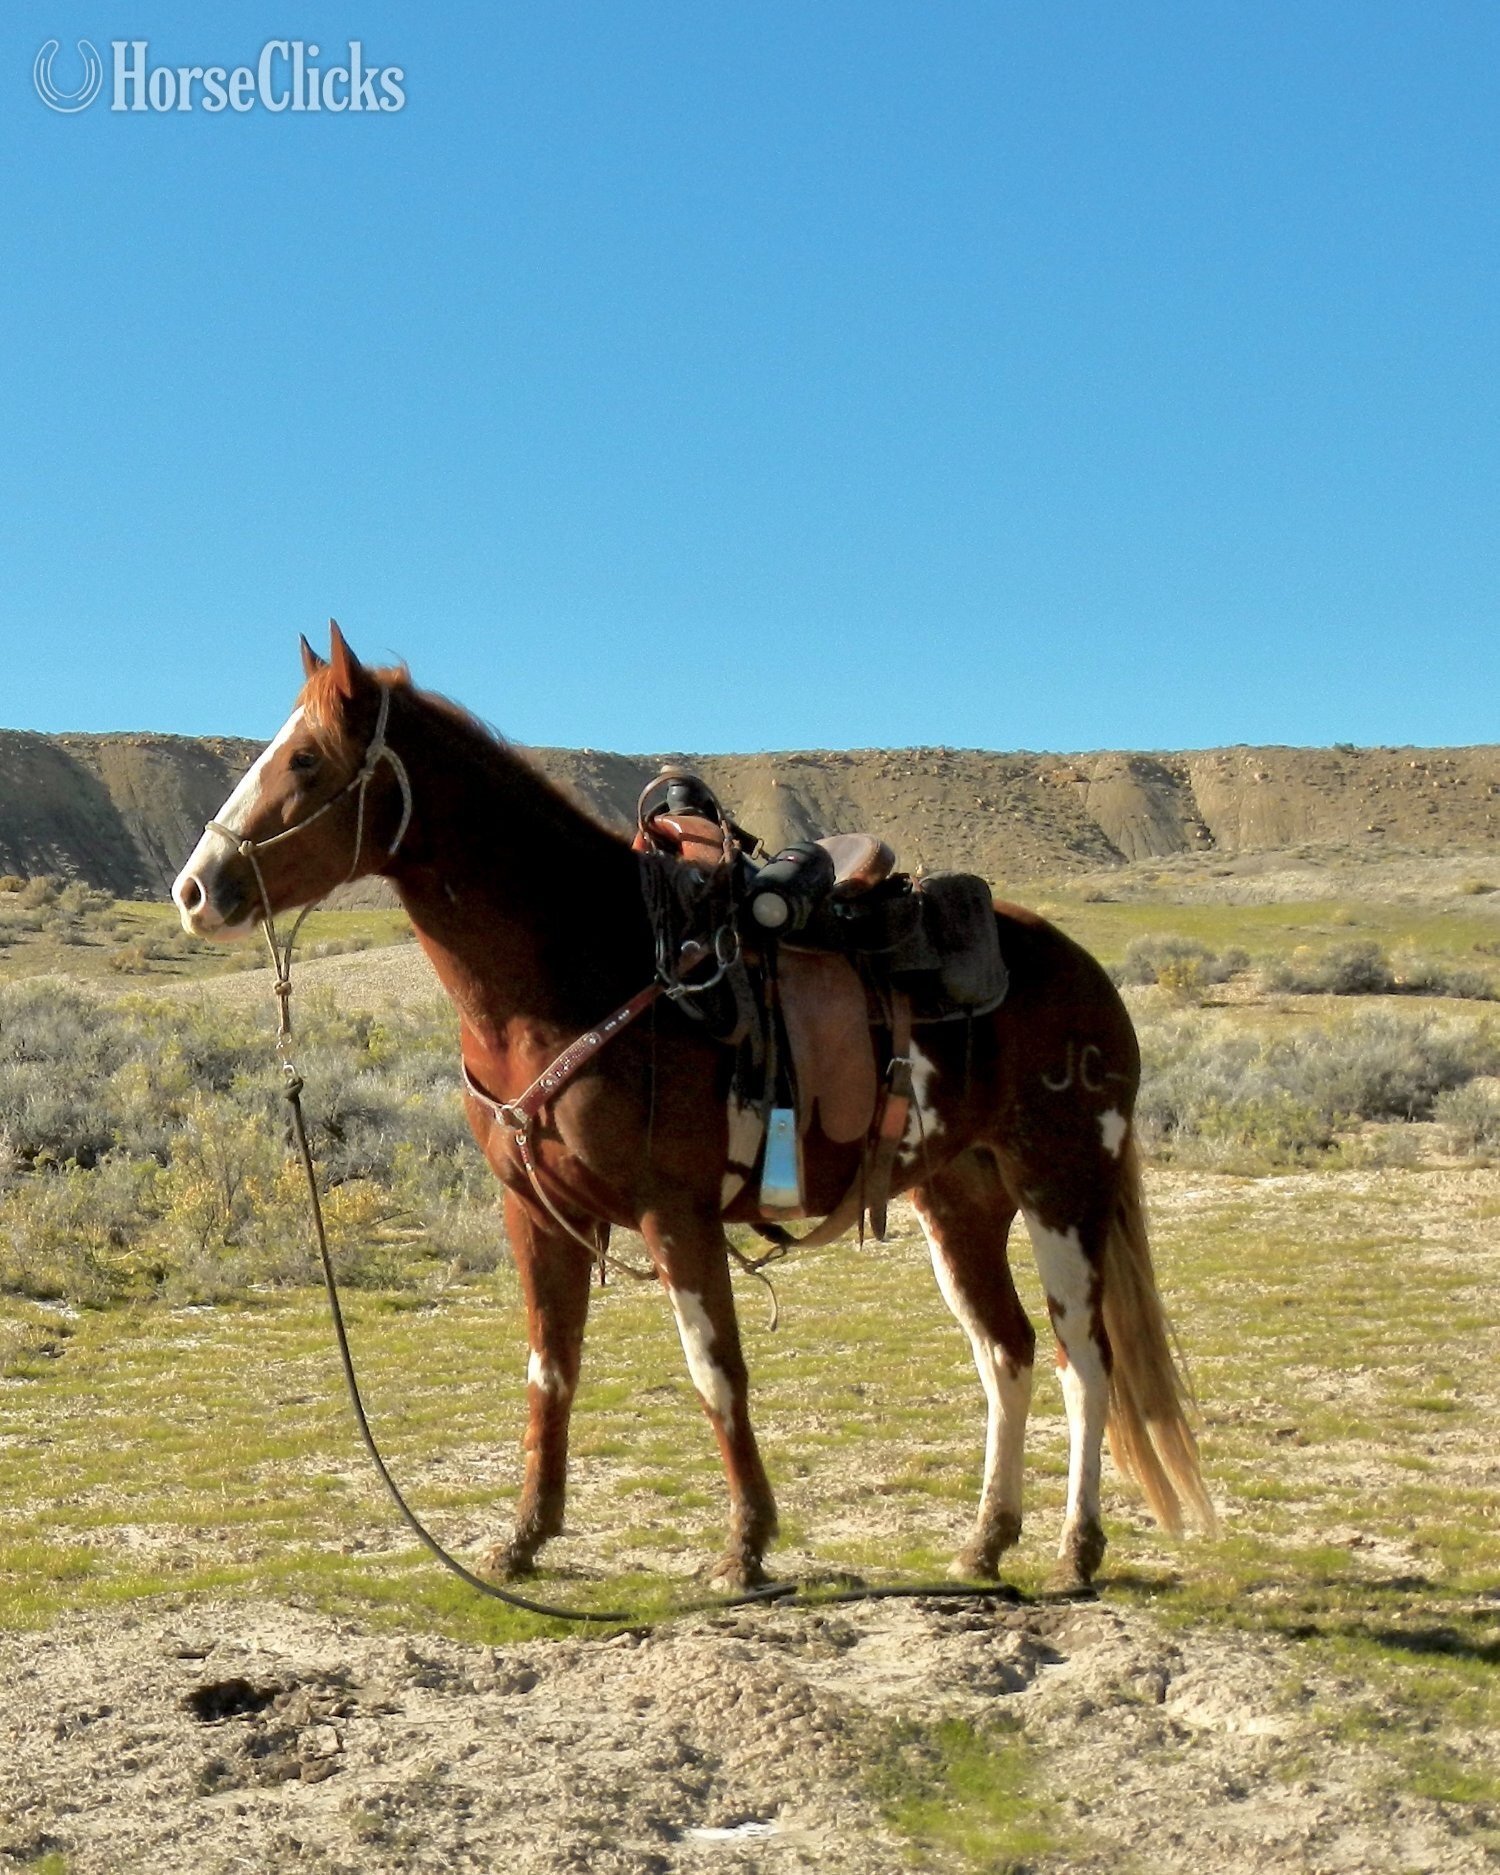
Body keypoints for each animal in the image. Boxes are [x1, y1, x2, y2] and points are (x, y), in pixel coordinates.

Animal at [172, 624, 1214, 1591]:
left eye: (307, 760)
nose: (194, 888)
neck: (581, 964)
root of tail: (1085, 971)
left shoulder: (674, 1212)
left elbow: (716, 1369)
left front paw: (745, 1547)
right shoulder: (536, 1211)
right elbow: (550, 1367)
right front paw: (524, 1537)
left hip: (1063, 1186)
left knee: (1087, 1356)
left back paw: (1077, 1550)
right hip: (958, 1198)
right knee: (1008, 1353)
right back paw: (986, 1541)